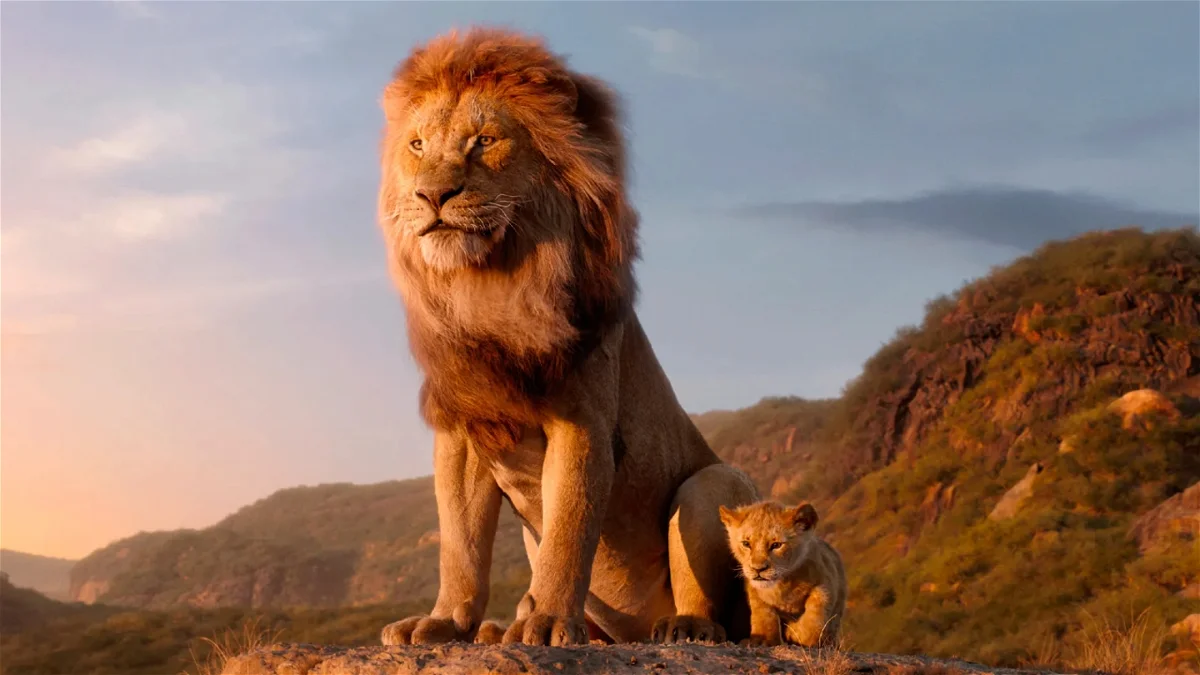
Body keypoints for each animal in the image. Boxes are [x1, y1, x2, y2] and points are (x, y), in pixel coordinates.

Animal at [374, 27, 761, 647]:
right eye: (416, 145)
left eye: (484, 141)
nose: (432, 196)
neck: (490, 288)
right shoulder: (463, 428)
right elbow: (460, 544)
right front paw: (445, 621)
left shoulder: (583, 422)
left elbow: (569, 530)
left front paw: (551, 621)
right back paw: (499, 628)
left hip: (712, 483)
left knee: (713, 603)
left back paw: (683, 627)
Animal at [719, 500, 847, 648]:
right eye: (746, 543)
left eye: (776, 545)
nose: (758, 569)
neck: (782, 584)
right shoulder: (755, 591)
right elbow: (763, 614)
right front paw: (763, 640)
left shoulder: (826, 580)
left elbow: (816, 610)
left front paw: (802, 635)